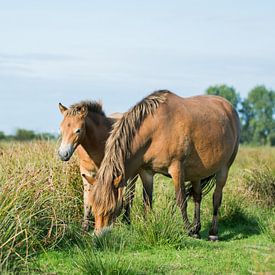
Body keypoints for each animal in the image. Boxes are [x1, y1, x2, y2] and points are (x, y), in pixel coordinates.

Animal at [58, 101, 152, 231]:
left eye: (78, 130)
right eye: (60, 129)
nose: (63, 154)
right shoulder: (86, 173)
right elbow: (87, 199)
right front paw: (85, 227)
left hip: (133, 173)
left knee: (130, 194)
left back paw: (126, 221)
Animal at [89, 91, 240, 242]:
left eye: (112, 209)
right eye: (93, 207)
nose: (98, 236)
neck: (156, 129)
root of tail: (228, 107)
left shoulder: (177, 168)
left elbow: (181, 200)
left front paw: (187, 230)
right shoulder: (146, 172)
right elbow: (147, 201)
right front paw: (148, 225)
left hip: (224, 168)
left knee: (217, 197)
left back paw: (213, 233)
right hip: (197, 173)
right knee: (197, 196)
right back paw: (197, 229)